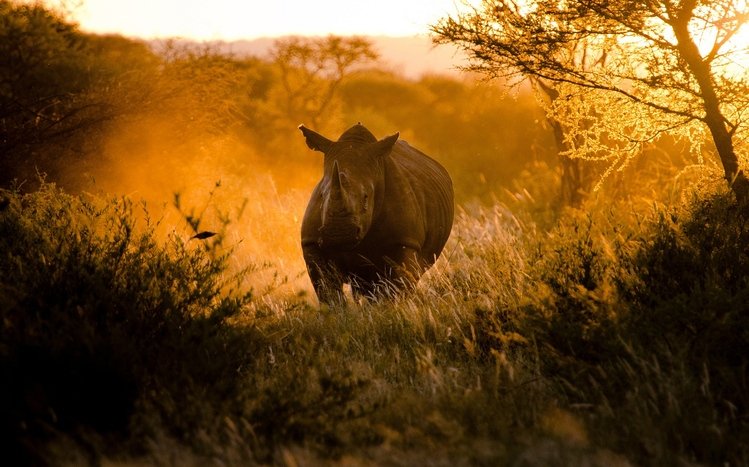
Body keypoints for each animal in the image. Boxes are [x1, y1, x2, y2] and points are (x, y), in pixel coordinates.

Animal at [299, 123, 454, 305]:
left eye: (366, 197)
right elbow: (327, 290)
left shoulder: (404, 240)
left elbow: (397, 286)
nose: (339, 233)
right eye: (322, 196)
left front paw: (393, 308)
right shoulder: (312, 243)